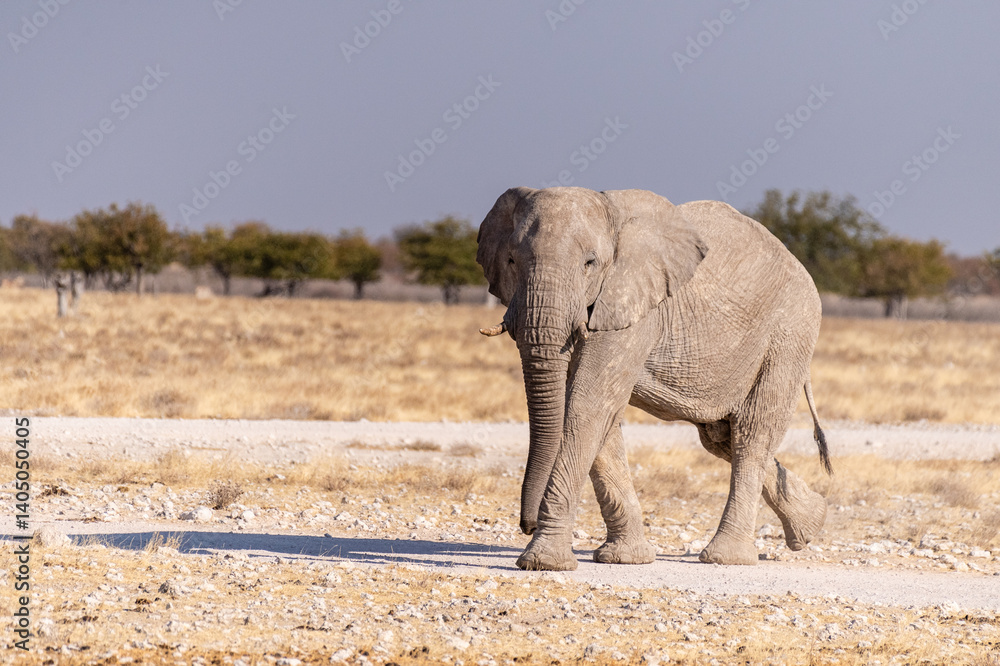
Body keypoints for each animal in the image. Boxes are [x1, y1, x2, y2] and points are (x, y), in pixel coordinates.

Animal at [476, 186, 832, 570]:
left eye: (589, 263)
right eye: (511, 261)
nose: (525, 525)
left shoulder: (632, 307)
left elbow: (587, 406)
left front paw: (542, 562)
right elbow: (598, 415)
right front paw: (624, 559)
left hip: (789, 335)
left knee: (752, 434)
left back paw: (726, 558)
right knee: (722, 437)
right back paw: (811, 524)